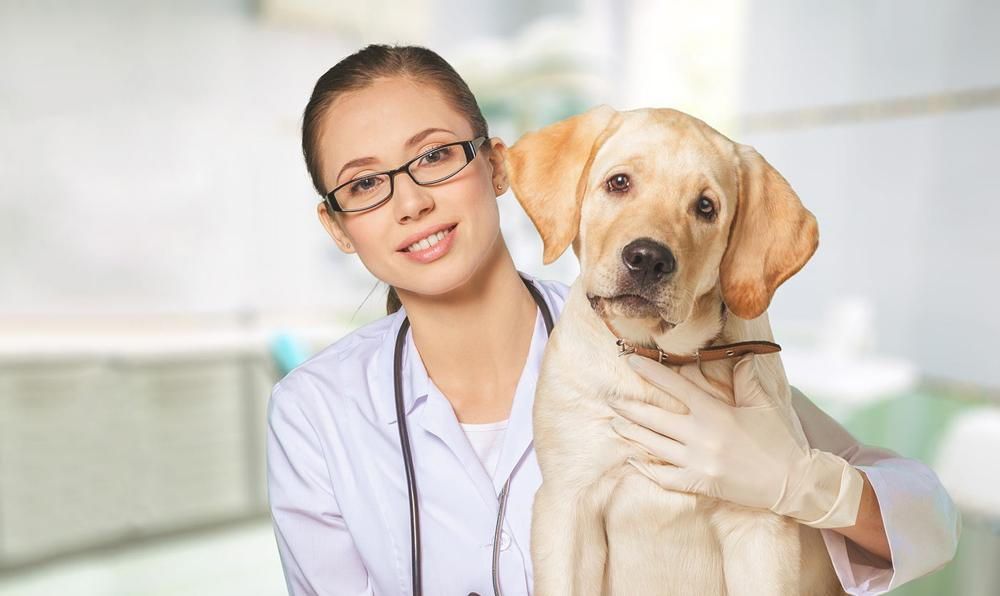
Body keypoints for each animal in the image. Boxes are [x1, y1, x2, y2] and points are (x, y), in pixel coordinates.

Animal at [500, 106, 844, 596]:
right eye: (619, 182)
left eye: (706, 207)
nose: (648, 258)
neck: (661, 356)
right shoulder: (568, 504)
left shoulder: (761, 526)